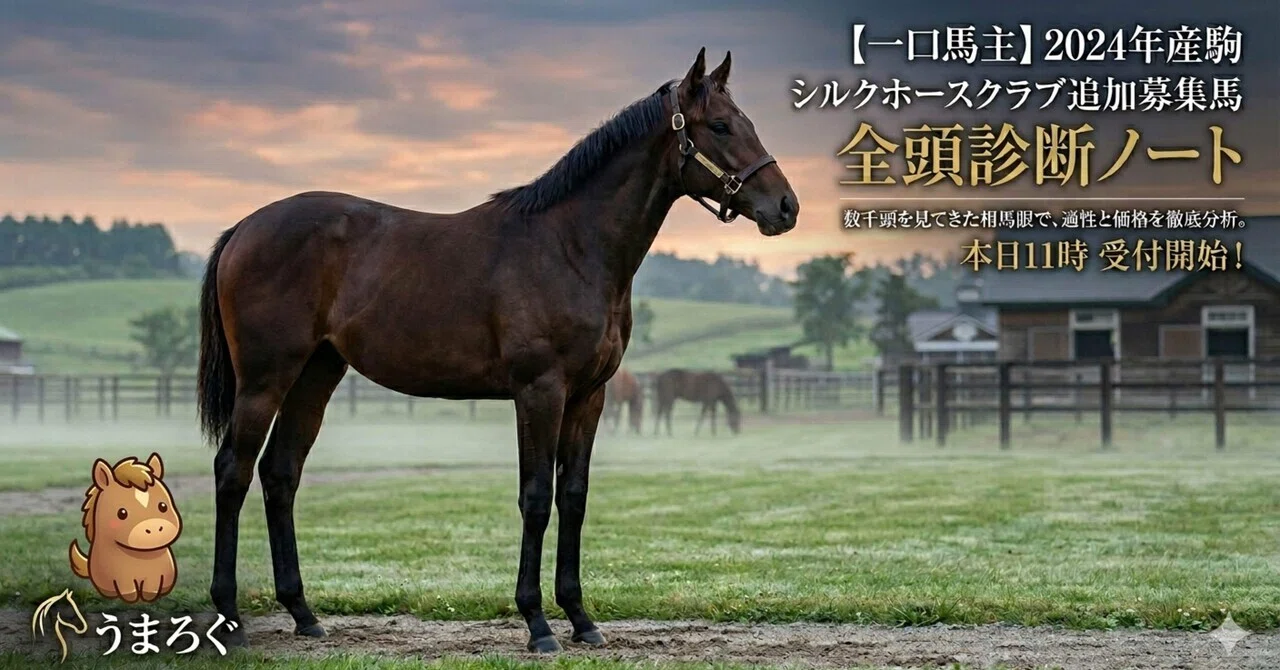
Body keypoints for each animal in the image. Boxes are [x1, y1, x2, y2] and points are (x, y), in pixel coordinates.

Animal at [195, 48, 797, 653]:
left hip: (316, 374)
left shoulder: (589, 397)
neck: (570, 245)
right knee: (233, 471)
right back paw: (230, 616)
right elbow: (535, 498)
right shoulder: (539, 391)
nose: (786, 207)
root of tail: (245, 227)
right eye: (719, 126)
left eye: (745, 121)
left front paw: (581, 619)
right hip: (266, 378)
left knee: (280, 473)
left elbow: (572, 497)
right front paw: (538, 624)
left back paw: (303, 612)